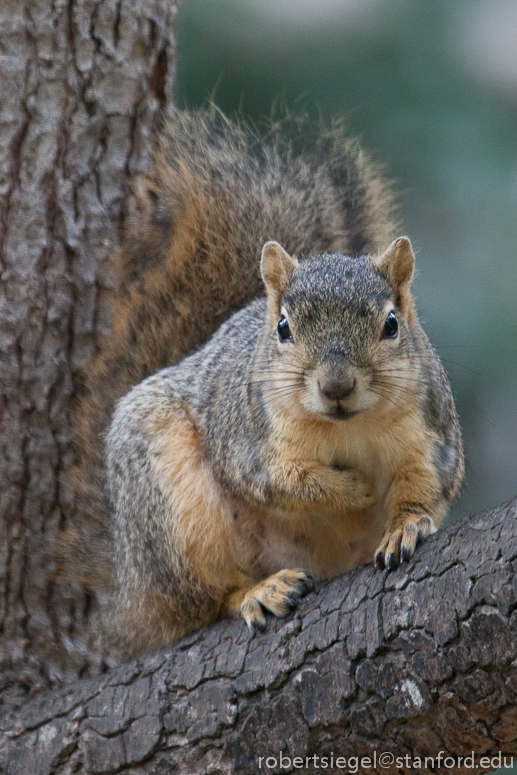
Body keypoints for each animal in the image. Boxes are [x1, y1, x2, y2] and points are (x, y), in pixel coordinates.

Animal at [65, 109, 464, 656]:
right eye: (283, 329)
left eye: (391, 324)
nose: (336, 387)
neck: (346, 428)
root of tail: (128, 594)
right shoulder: (249, 439)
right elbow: (283, 481)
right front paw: (351, 489)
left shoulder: (430, 430)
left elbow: (425, 483)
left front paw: (405, 528)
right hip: (169, 507)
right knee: (206, 600)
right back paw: (258, 591)